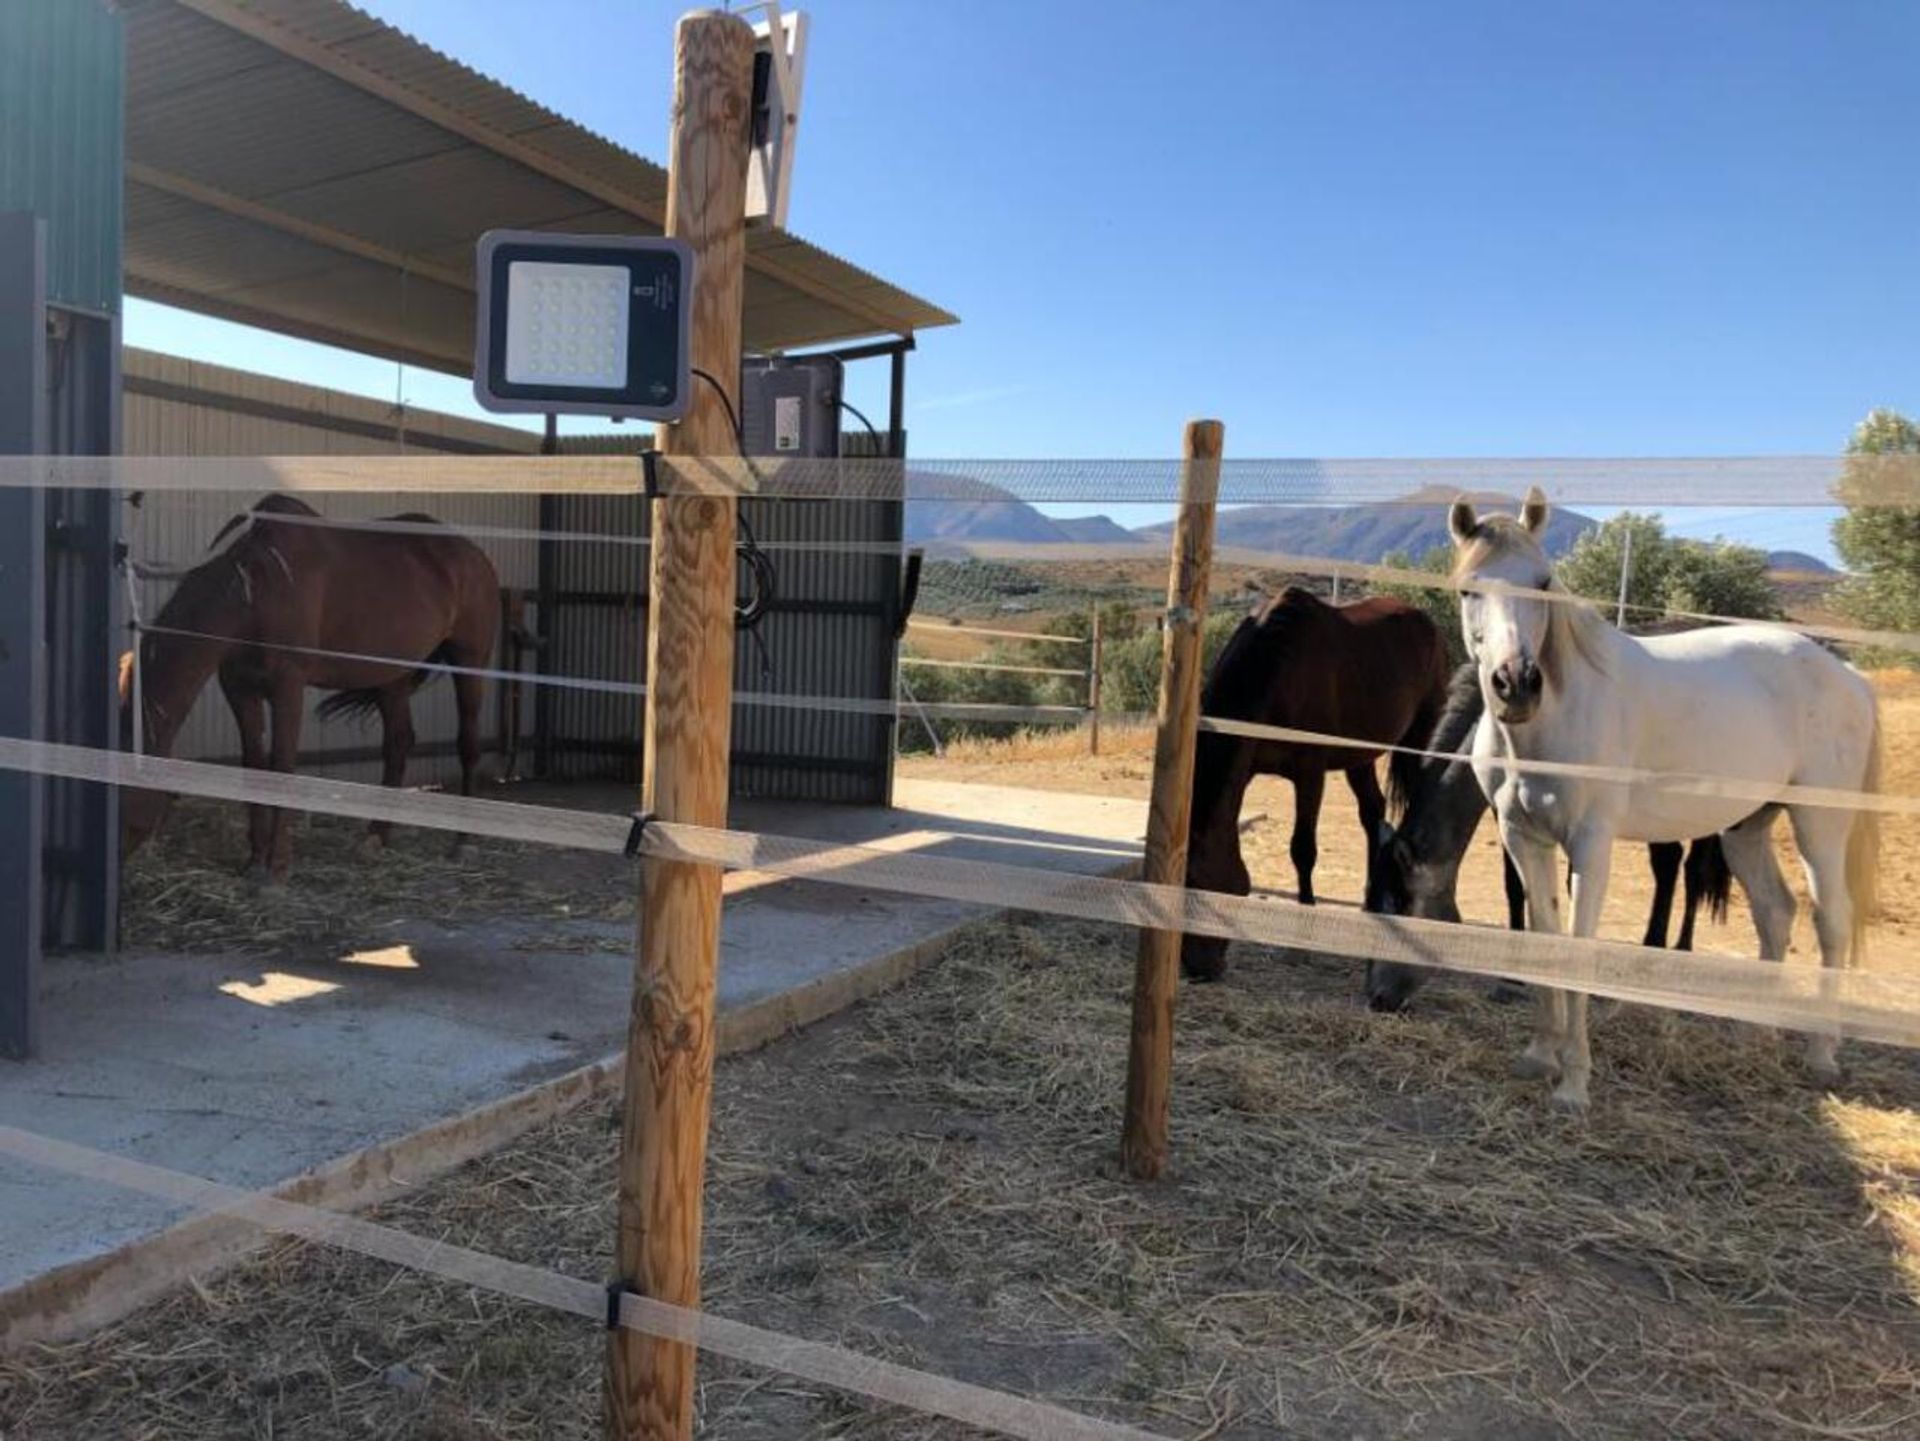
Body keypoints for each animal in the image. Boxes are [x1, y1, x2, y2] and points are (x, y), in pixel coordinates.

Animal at [116, 495, 499, 878]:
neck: (254, 583)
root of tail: (473, 554)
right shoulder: (238, 687)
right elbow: (254, 764)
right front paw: (255, 860)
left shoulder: (288, 686)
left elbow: (282, 764)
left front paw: (277, 868)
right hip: (392, 675)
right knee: (398, 743)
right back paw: (376, 838)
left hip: (469, 660)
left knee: (467, 744)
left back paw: (463, 842)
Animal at [1175, 587, 1443, 982]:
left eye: (1198, 883)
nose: (1197, 969)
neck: (1278, 671)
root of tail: (1428, 623)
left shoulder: (1310, 774)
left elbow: (1303, 850)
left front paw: (1300, 939)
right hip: (1359, 755)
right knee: (1372, 812)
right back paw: (1369, 903)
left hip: (1420, 737)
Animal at [1451, 491, 1873, 1112]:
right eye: (1469, 589)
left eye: (1543, 581)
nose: (1517, 685)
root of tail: (1847, 674)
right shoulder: (1522, 837)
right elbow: (1544, 936)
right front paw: (1540, 1055)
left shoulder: (1591, 843)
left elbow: (1579, 945)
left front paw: (1574, 1084)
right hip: (1747, 828)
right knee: (1776, 912)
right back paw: (1755, 1037)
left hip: (1819, 824)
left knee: (1831, 919)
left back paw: (1822, 1055)